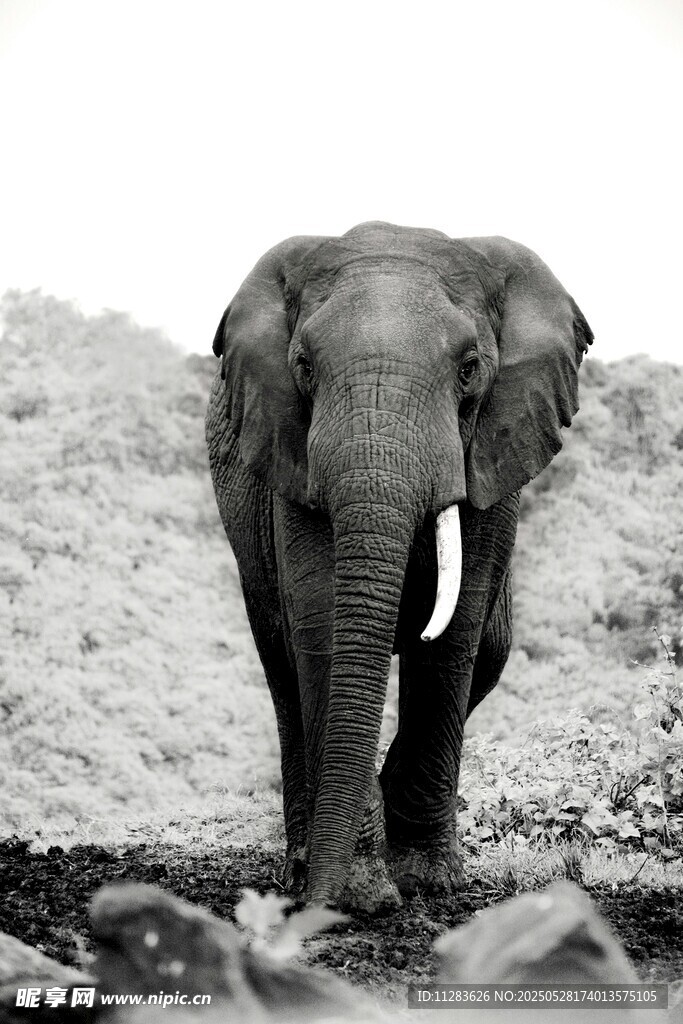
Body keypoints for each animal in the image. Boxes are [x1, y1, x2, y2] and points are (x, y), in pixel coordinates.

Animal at [205, 221, 593, 913]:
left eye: (469, 369)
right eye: (303, 367)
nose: (323, 907)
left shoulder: (492, 448)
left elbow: (455, 634)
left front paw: (429, 883)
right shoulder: (289, 454)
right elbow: (322, 623)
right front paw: (363, 893)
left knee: (491, 649)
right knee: (281, 664)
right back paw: (301, 866)